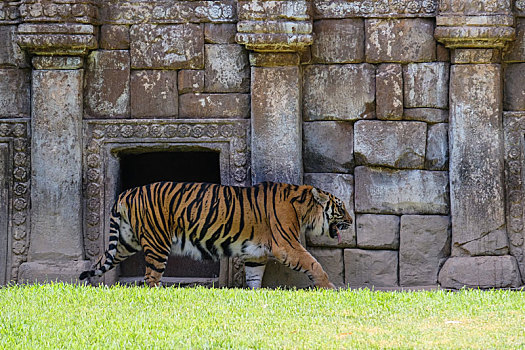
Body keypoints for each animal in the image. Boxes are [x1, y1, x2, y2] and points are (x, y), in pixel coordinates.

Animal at [79, 182, 352, 288]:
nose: (351, 221)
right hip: (157, 244)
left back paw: (85, 282)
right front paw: (330, 287)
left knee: (101, 261)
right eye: (341, 207)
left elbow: (254, 276)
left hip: (126, 242)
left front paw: (254, 294)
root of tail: (126, 193)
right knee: (150, 279)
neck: (303, 208)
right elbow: (314, 264)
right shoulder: (286, 245)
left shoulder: (256, 253)